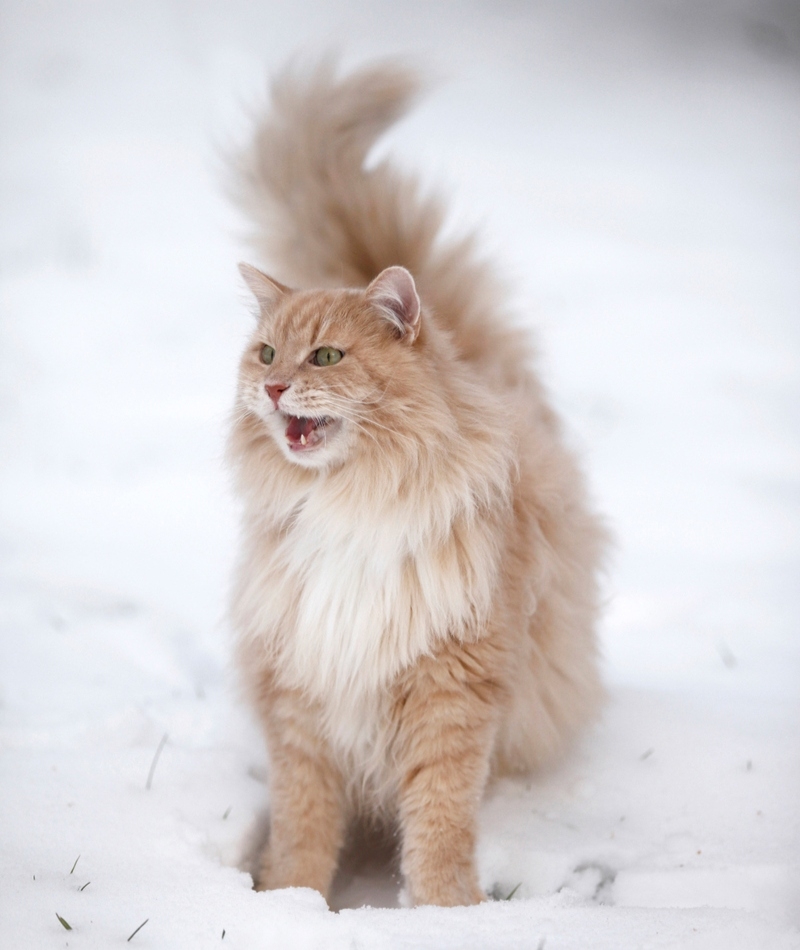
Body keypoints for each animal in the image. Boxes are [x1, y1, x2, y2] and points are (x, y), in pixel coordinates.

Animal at [227, 57, 608, 908]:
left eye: (325, 357)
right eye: (266, 354)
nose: (273, 389)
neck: (349, 506)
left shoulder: (451, 693)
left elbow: (438, 822)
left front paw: (446, 913)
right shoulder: (302, 691)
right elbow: (303, 828)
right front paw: (291, 904)